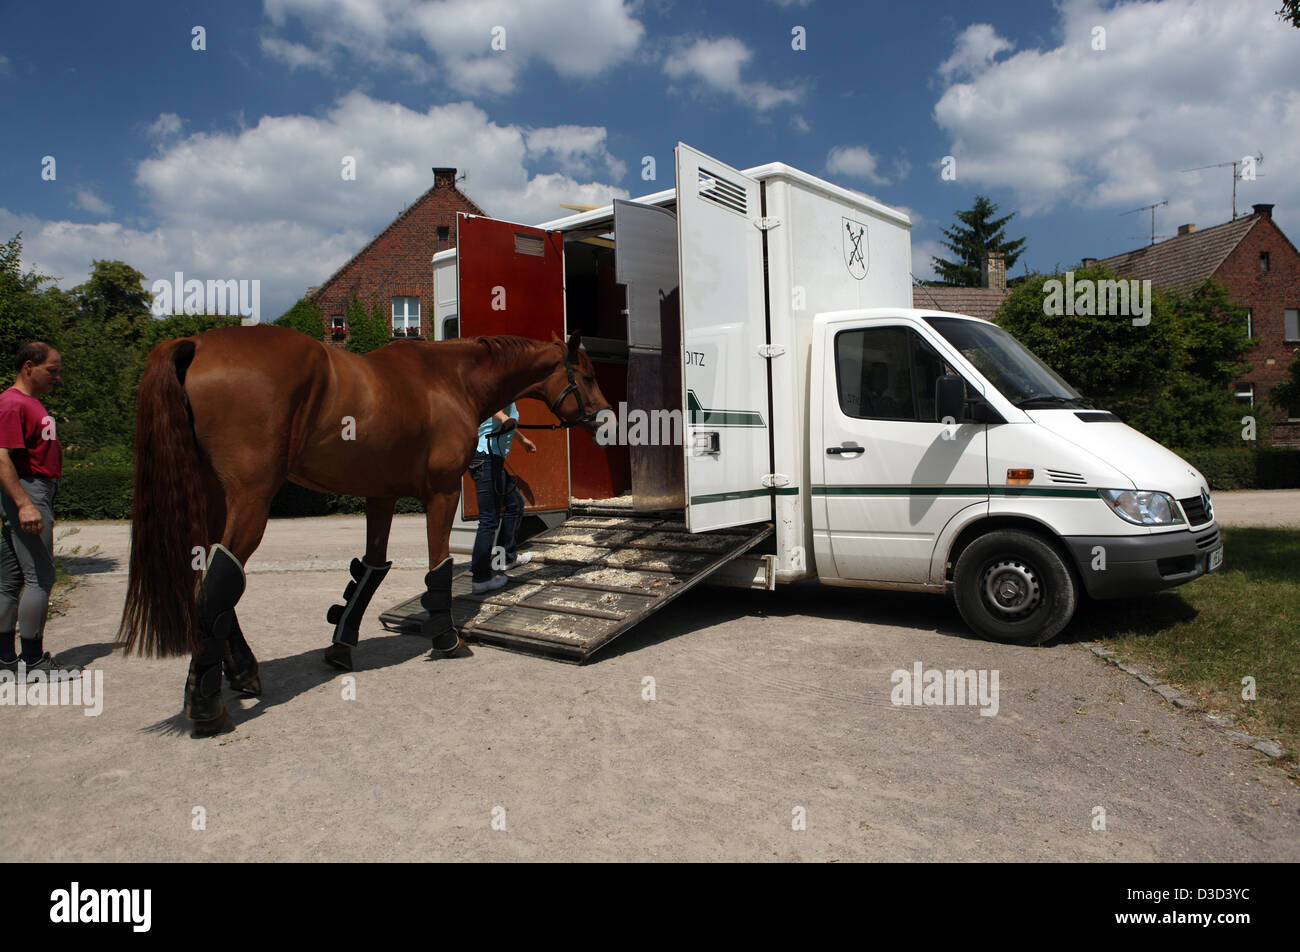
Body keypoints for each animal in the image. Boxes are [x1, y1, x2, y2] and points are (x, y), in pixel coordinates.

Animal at [116, 325, 611, 735]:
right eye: (587, 376)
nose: (606, 421)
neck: (449, 379)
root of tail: (196, 344)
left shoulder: (381, 497)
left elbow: (371, 570)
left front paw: (341, 645)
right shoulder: (441, 493)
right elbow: (438, 568)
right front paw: (446, 637)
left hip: (213, 500)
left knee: (212, 583)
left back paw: (241, 672)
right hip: (251, 501)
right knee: (219, 584)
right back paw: (207, 708)